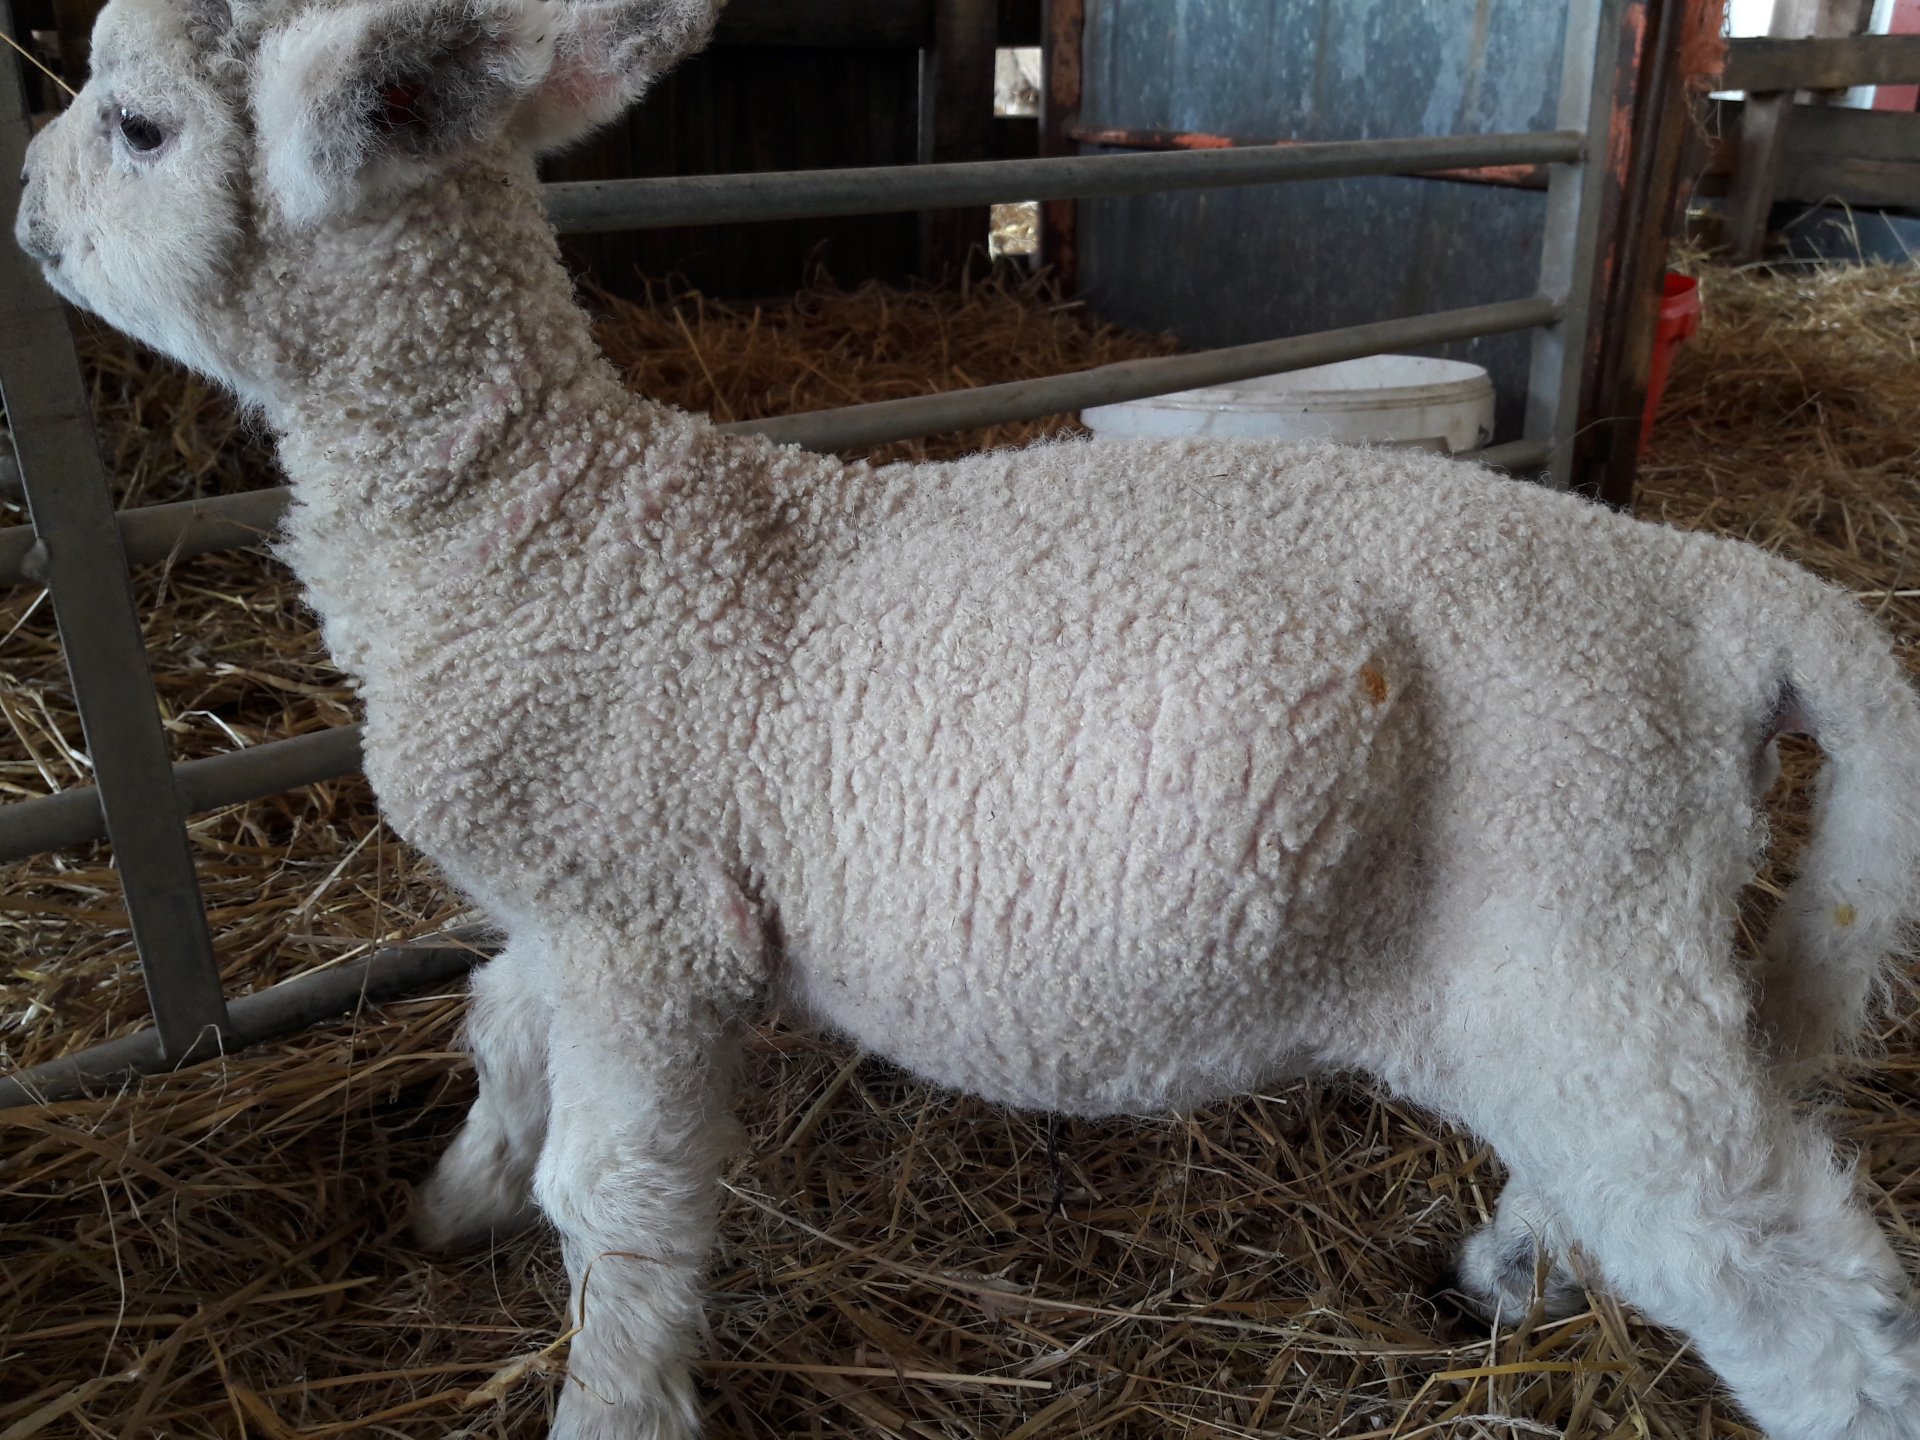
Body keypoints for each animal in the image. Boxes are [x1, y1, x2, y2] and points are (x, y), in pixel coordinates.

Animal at [14, 0, 1920, 1436]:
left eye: (138, 126)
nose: (22, 206)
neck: (553, 525)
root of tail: (1718, 586)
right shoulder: (572, 891)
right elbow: (496, 1036)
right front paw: (452, 1200)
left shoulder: (647, 922)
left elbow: (620, 1207)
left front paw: (611, 1398)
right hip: (1578, 949)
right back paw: (1512, 1273)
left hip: (1579, 889)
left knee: (1785, 1273)